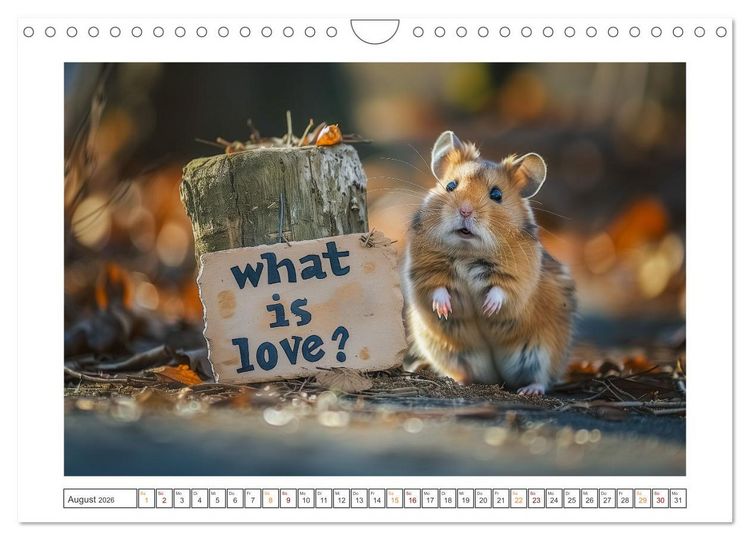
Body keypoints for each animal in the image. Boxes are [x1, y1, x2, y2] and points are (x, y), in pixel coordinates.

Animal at [402, 130, 576, 395]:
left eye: (496, 195)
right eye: (451, 186)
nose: (465, 211)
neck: (468, 251)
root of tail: (497, 376)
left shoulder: (518, 277)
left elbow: (501, 291)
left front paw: (487, 309)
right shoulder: (425, 270)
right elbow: (437, 288)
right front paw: (444, 310)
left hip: (544, 350)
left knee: (542, 378)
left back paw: (529, 390)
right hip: (449, 351)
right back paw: (460, 381)